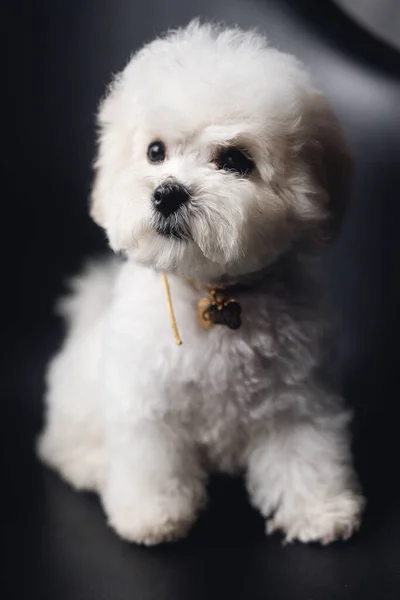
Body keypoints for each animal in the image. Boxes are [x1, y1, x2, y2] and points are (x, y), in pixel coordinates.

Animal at [37, 19, 366, 544]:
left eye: (235, 160)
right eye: (155, 151)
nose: (167, 193)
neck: (211, 294)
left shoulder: (300, 396)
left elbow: (306, 451)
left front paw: (320, 509)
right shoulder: (147, 403)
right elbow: (151, 460)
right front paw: (152, 514)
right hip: (77, 401)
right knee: (63, 444)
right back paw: (92, 465)